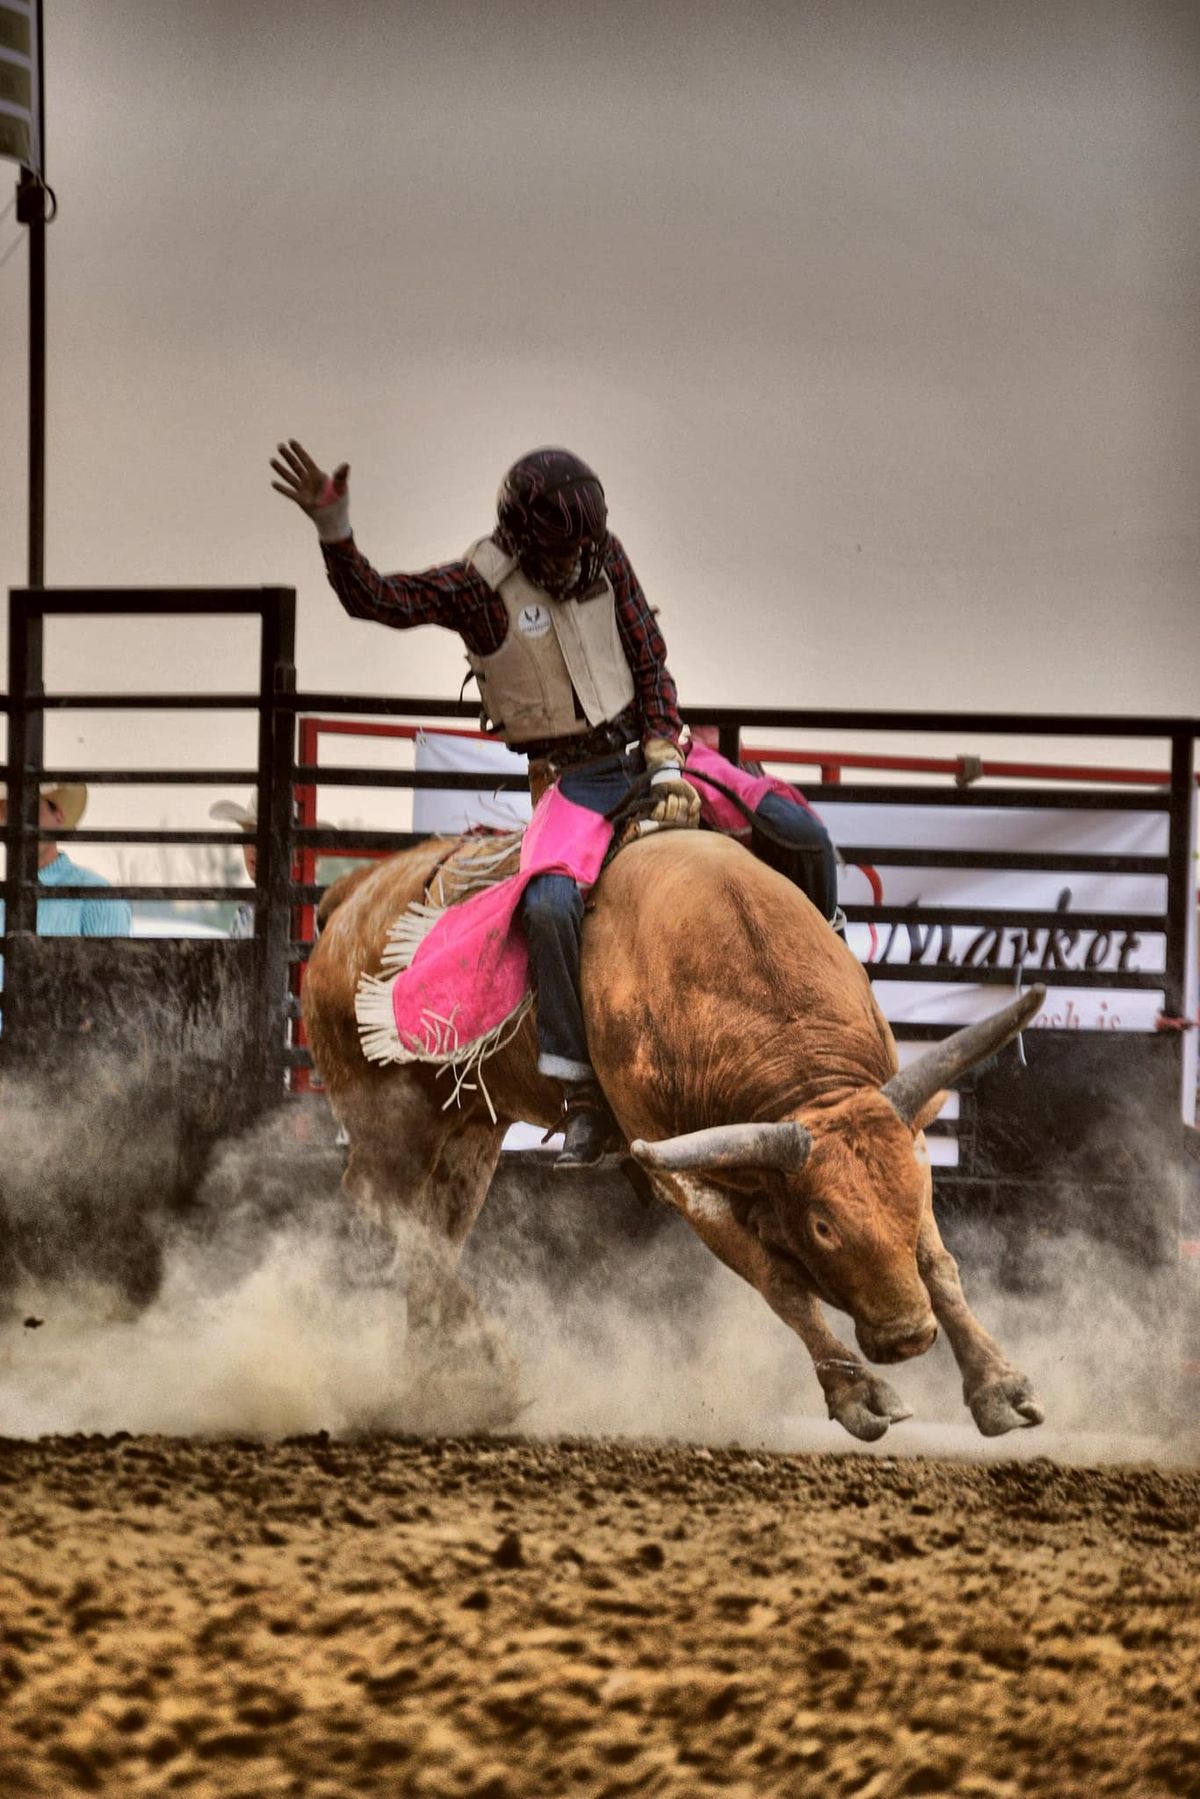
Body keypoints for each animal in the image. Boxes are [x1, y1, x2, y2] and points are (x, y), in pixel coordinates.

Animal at [305, 831, 1043, 1446]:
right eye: (822, 1225)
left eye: (913, 1197)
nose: (908, 1335)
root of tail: (353, 898)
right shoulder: (681, 1171)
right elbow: (779, 1281)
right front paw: (857, 1392)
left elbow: (938, 1262)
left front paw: (1000, 1386)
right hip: (387, 1113)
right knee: (387, 1210)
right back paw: (481, 1367)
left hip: (470, 1127)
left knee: (437, 1229)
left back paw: (445, 1380)